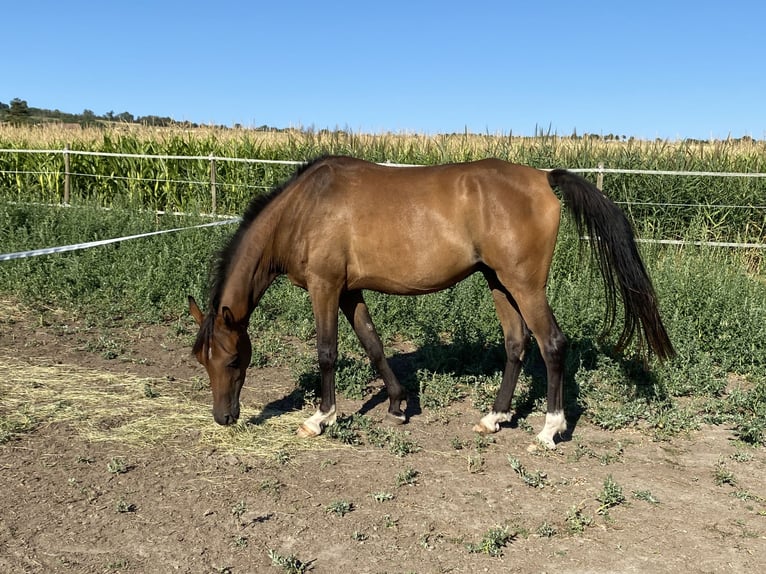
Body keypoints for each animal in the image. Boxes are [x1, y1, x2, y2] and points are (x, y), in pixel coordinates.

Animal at [189, 156, 674, 449]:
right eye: (202, 361)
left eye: (233, 360)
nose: (223, 417)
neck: (305, 208)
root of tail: (541, 177)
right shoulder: (349, 290)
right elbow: (373, 343)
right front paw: (399, 404)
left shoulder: (324, 287)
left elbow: (327, 352)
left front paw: (320, 417)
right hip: (499, 283)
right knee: (516, 344)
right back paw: (494, 417)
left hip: (525, 285)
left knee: (552, 344)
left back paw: (549, 429)